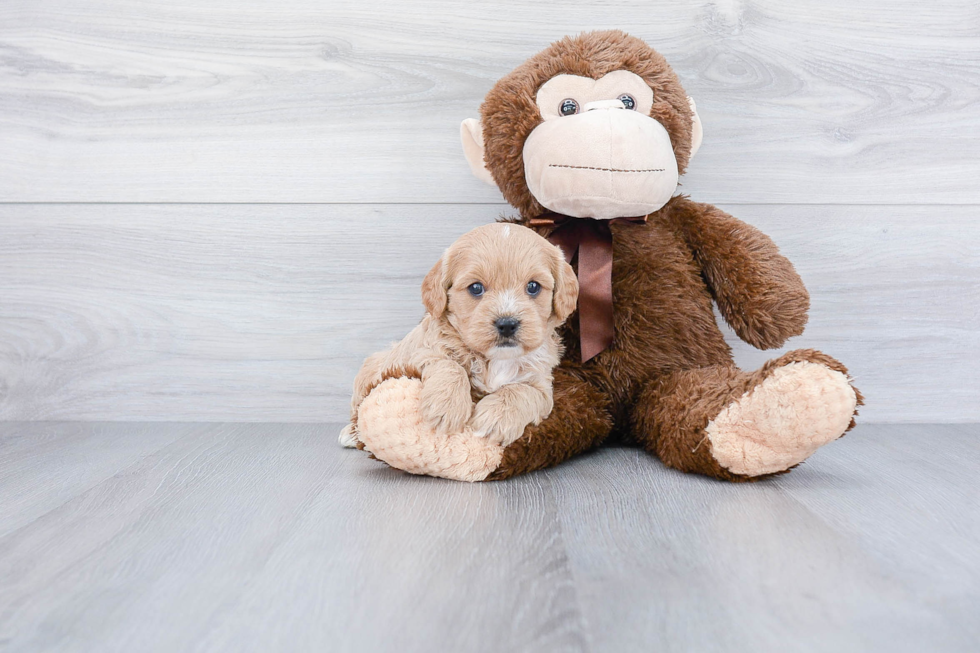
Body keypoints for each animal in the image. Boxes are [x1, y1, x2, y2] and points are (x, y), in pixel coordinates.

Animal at [340, 224, 580, 448]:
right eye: (476, 288)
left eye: (533, 286)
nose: (507, 324)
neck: (495, 360)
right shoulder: (417, 354)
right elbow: (450, 365)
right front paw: (446, 407)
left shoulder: (542, 386)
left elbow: (522, 391)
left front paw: (495, 418)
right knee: (357, 409)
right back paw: (351, 433)